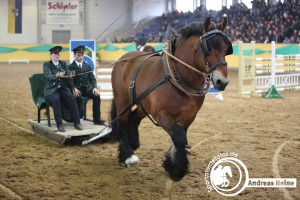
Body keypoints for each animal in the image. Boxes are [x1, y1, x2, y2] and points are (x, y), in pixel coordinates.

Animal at [110, 17, 232, 181]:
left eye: (226, 49)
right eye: (208, 49)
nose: (222, 81)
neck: (176, 76)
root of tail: (124, 58)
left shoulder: (189, 117)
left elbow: (179, 137)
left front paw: (172, 164)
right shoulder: (161, 115)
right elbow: (179, 138)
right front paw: (177, 169)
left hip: (143, 104)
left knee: (134, 117)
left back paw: (133, 142)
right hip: (122, 100)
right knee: (122, 124)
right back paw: (127, 156)